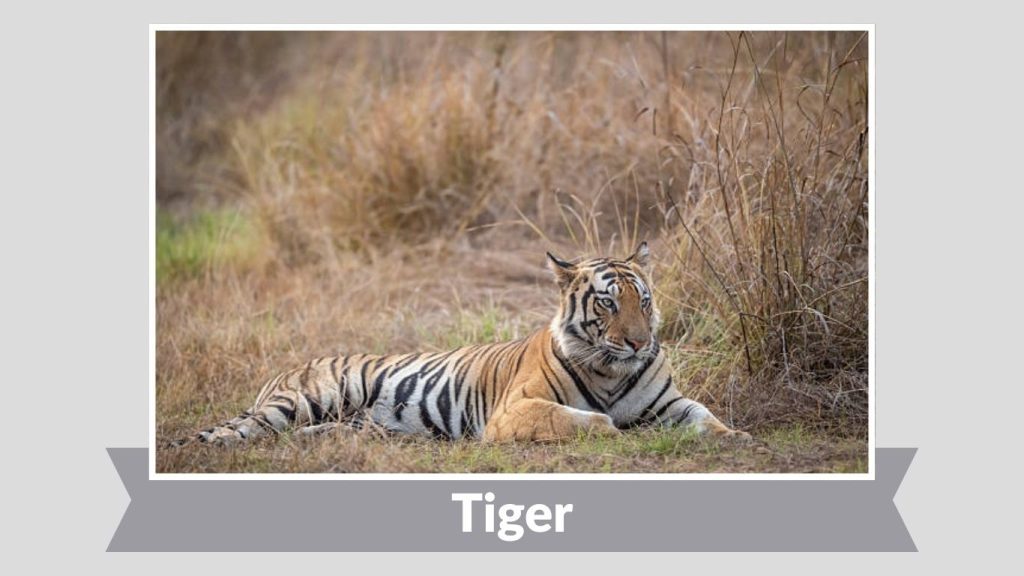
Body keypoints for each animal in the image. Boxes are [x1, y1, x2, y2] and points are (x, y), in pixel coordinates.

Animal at [185, 242, 750, 445]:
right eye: (609, 303)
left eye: (644, 301)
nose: (637, 342)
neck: (612, 370)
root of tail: (284, 371)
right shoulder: (516, 408)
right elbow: (582, 419)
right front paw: (610, 427)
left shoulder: (671, 402)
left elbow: (705, 415)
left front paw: (735, 436)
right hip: (305, 398)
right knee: (240, 429)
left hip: (343, 420)